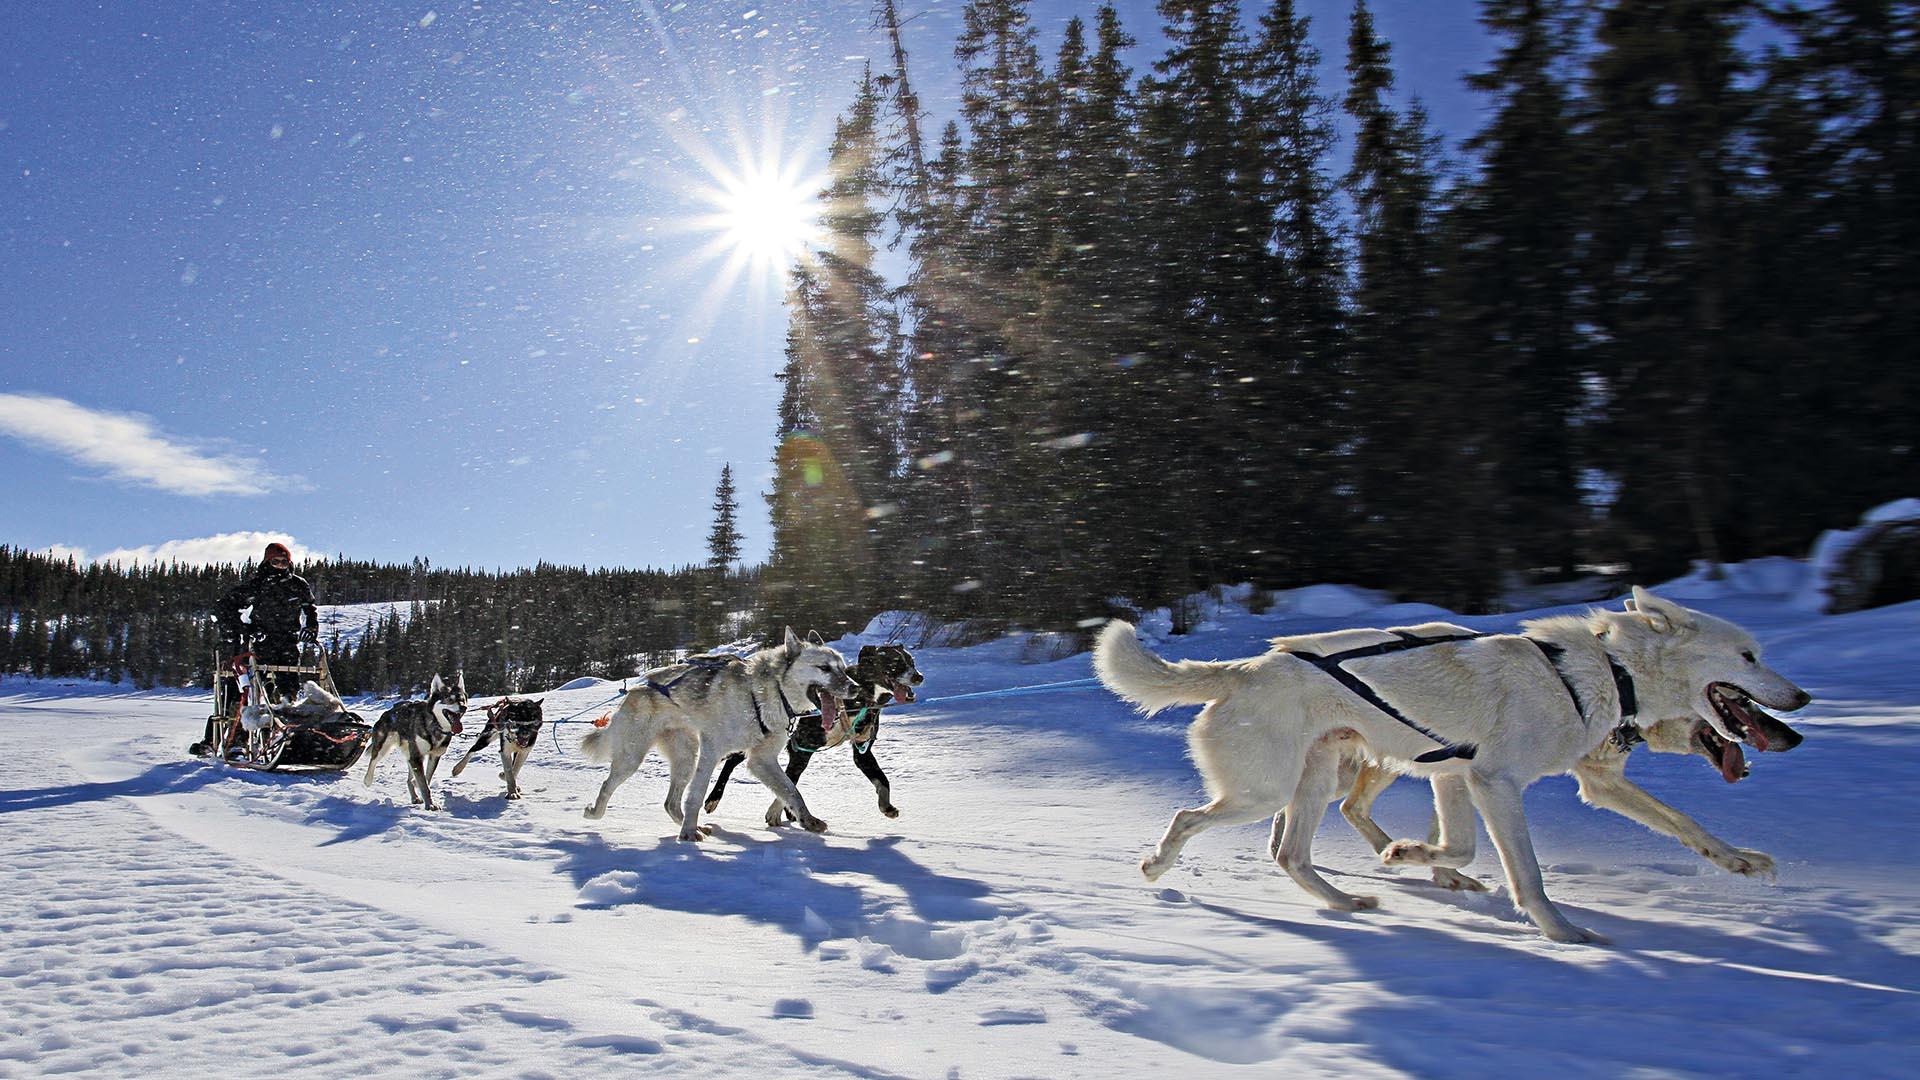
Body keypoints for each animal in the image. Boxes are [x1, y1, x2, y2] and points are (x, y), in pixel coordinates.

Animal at [366, 672, 472, 807]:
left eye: (462, 700)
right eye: (450, 699)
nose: (463, 707)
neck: (434, 725)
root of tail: (388, 712)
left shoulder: (433, 756)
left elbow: (426, 779)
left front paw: (424, 795)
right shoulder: (416, 757)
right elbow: (424, 785)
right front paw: (430, 805)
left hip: (411, 755)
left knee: (409, 779)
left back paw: (415, 796)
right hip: (383, 747)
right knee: (373, 761)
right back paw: (367, 780)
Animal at [576, 622, 856, 841]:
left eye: (843, 668)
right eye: (824, 668)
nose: (855, 687)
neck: (766, 693)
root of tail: (635, 688)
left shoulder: (762, 759)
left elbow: (791, 791)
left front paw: (808, 820)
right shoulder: (712, 751)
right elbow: (697, 795)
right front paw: (687, 834)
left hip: (686, 758)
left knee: (670, 803)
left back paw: (693, 825)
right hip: (633, 758)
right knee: (608, 785)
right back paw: (597, 812)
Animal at [1098, 584, 1812, 937]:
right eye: (1749, 656)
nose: (1803, 702)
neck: (1605, 672)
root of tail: (1242, 669)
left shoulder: (1460, 776)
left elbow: (1688, 826)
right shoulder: (1494, 782)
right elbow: (1526, 875)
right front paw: (1565, 934)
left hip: (1317, 781)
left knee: (1291, 854)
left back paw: (1348, 901)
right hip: (1265, 791)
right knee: (1189, 819)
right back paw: (1158, 865)